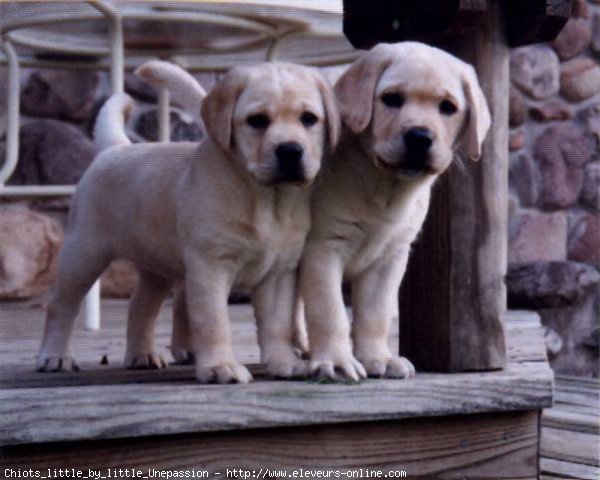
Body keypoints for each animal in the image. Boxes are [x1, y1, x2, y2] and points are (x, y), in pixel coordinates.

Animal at [36, 62, 338, 382]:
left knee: (140, 306)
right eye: (257, 120)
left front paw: (284, 363)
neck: (267, 199)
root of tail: (114, 149)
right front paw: (220, 367)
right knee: (61, 306)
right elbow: (214, 321)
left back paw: (142, 355)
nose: (291, 150)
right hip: (83, 253)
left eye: (309, 119)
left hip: (157, 265)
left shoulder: (279, 272)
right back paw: (55, 356)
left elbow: (278, 323)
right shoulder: (210, 266)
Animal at [300, 44, 492, 382]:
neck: (385, 188)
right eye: (392, 99)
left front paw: (378, 358)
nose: (419, 137)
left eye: (448, 107)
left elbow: (376, 313)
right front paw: (335, 361)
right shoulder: (322, 248)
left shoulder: (389, 257)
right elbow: (330, 311)